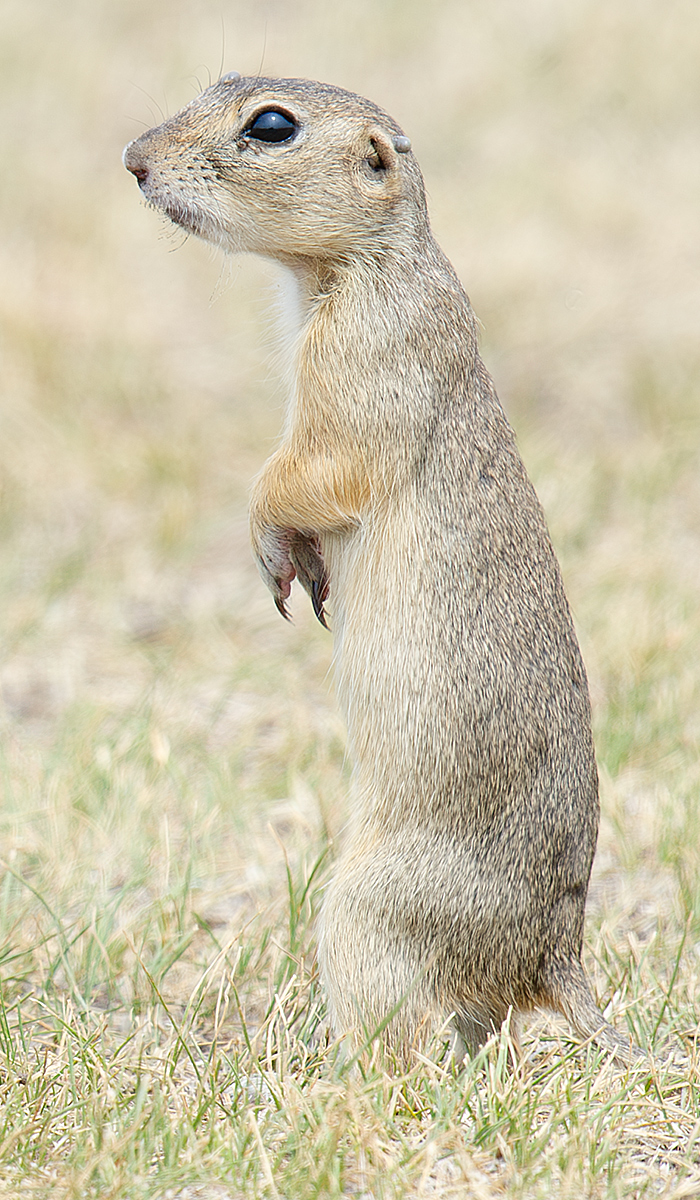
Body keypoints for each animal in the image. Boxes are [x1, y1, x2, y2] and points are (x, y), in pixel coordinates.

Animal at [123, 72, 638, 1060]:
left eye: (270, 125)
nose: (132, 160)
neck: (367, 263)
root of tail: (554, 957)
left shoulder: (359, 362)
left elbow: (308, 470)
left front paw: (271, 550)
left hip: (362, 914)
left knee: (409, 1049)